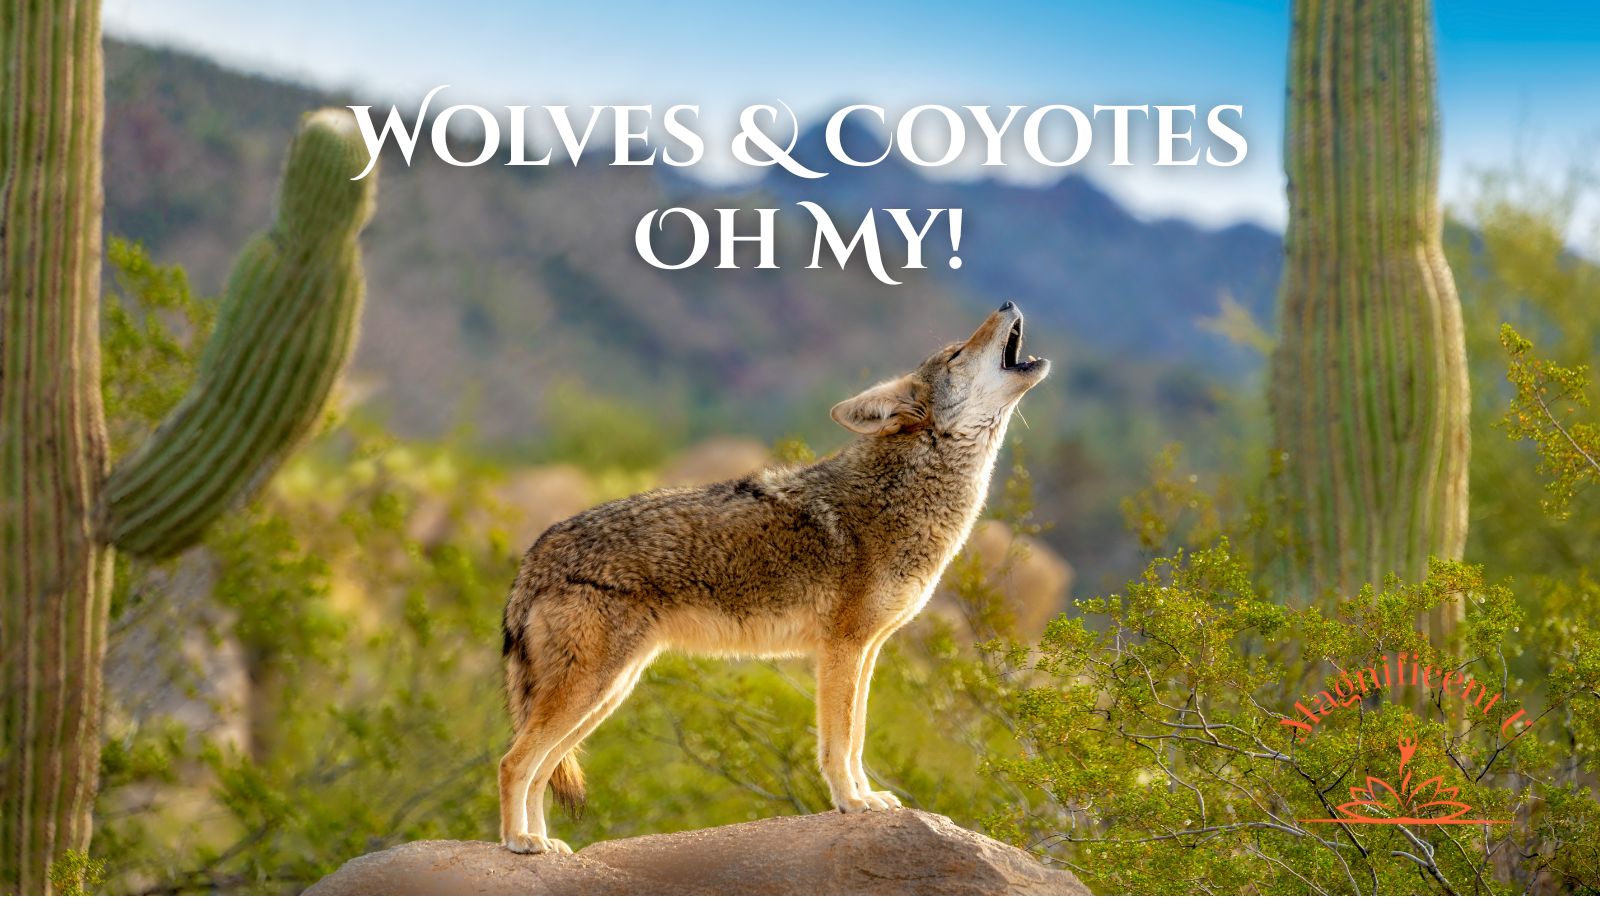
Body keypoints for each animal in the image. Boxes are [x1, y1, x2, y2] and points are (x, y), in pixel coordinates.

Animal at [498, 302, 1049, 853]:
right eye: (956, 353)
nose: (1007, 304)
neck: (904, 497)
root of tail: (535, 556)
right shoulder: (842, 649)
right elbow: (838, 742)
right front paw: (851, 803)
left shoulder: (868, 649)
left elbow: (857, 737)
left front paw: (867, 797)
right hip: (592, 690)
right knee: (512, 762)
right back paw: (519, 841)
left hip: (608, 693)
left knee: (540, 769)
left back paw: (544, 844)